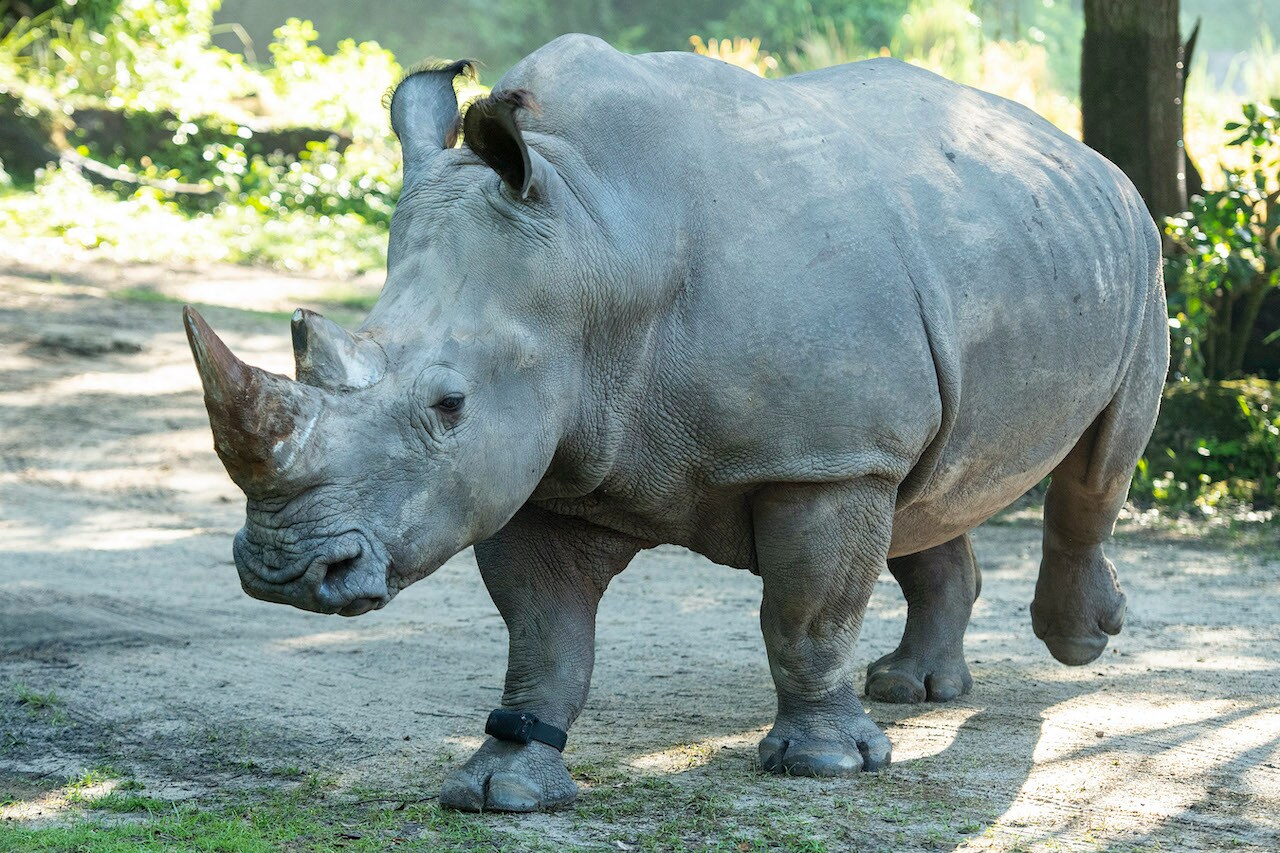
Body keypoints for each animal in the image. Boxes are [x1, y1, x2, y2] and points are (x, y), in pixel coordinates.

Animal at [183, 35, 1168, 812]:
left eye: (448, 404)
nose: (281, 569)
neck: (594, 242)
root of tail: (1079, 148)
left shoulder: (820, 457)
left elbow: (806, 614)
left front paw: (822, 765)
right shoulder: (544, 462)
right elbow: (544, 635)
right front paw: (503, 783)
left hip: (1139, 252)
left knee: (1097, 465)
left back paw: (1078, 642)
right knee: (930, 484)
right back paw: (911, 688)